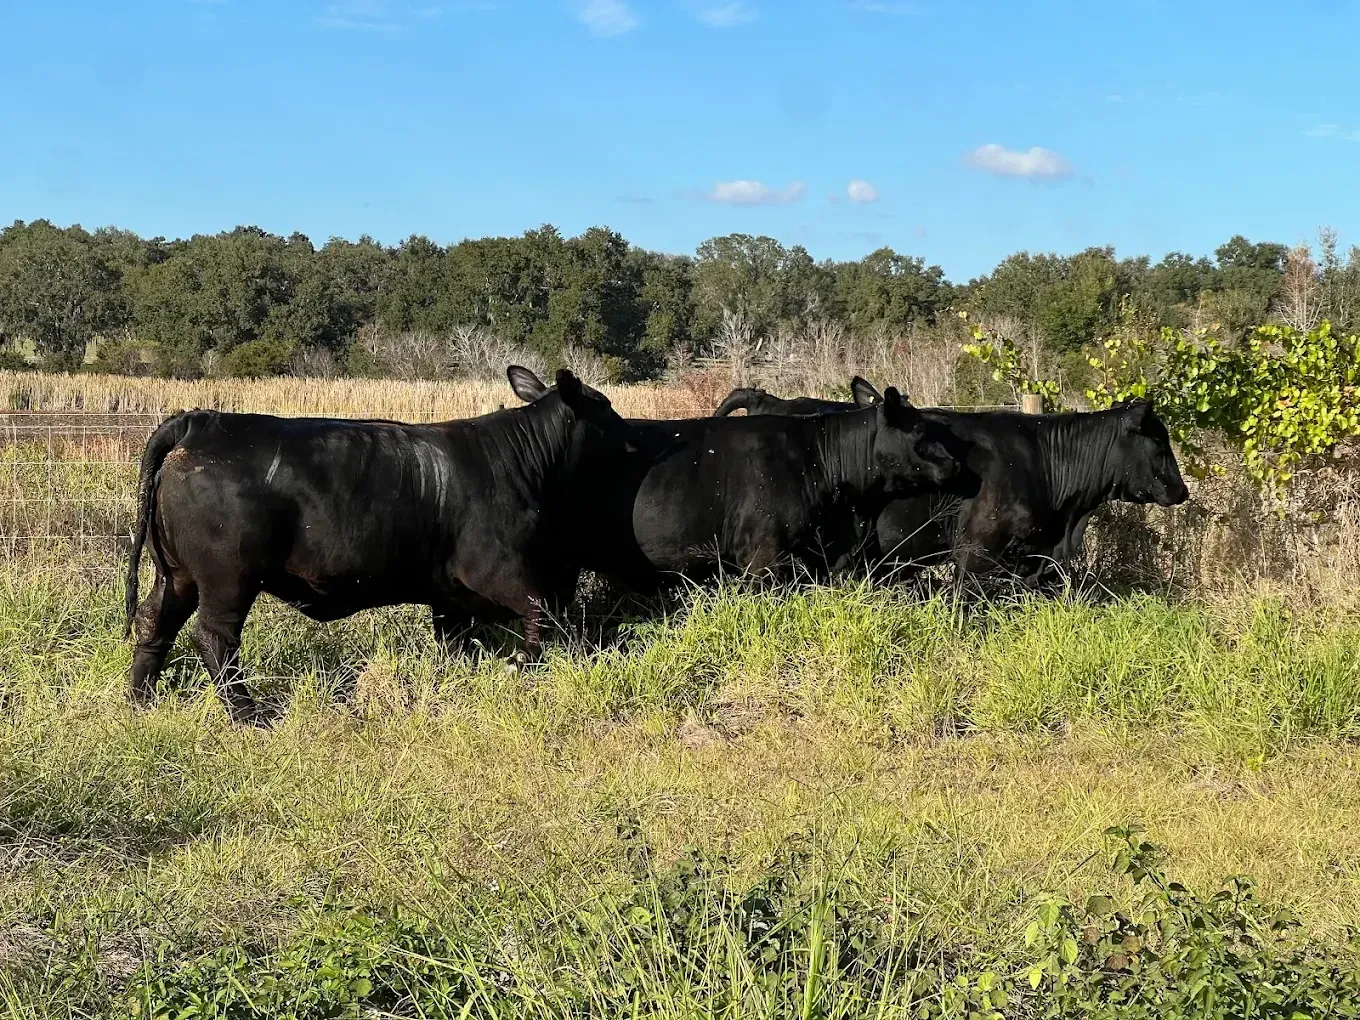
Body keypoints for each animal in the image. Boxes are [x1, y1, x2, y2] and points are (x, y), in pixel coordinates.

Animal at [124, 369, 626, 724]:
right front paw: (522, 666)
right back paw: (248, 716)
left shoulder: (450, 593)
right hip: (228, 577)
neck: (521, 462)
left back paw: (141, 699)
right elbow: (544, 616)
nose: (630, 434)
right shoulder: (499, 569)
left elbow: (455, 643)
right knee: (215, 638)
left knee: (155, 620)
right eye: (605, 407)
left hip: (178, 573)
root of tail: (201, 421)